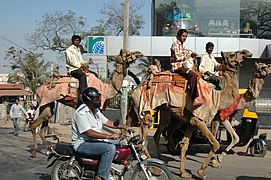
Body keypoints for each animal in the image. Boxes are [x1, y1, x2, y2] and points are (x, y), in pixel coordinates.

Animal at [129, 49, 254, 179]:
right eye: (233, 54)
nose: (247, 52)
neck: (217, 97)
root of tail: (133, 91)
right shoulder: (199, 119)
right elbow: (215, 143)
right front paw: (202, 172)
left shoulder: (192, 120)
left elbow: (185, 143)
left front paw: (183, 172)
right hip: (144, 109)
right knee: (144, 139)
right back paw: (152, 167)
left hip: (164, 111)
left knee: (157, 133)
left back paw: (157, 167)